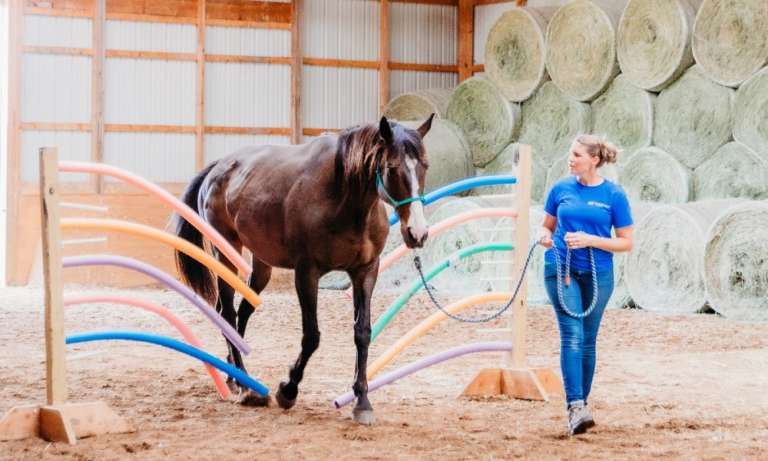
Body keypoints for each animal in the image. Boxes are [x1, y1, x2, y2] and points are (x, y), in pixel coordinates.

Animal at [175, 115, 436, 424]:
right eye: (392, 168)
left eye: (424, 165)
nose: (417, 233)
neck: (343, 199)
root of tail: (218, 167)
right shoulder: (307, 273)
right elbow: (312, 336)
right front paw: (288, 389)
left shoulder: (365, 272)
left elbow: (363, 333)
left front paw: (362, 400)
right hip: (226, 251)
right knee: (226, 311)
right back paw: (246, 387)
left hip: (262, 264)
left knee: (242, 311)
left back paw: (234, 376)